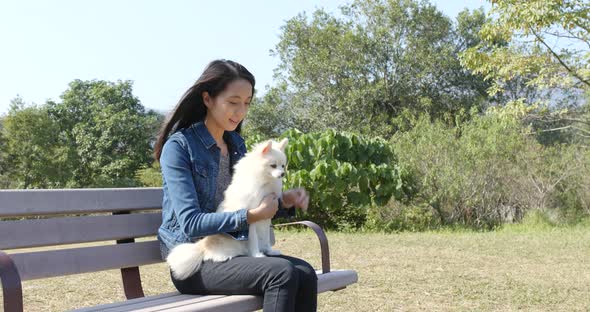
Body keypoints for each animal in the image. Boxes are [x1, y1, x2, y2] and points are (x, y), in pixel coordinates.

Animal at [166, 138, 290, 280]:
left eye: (283, 166)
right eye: (273, 165)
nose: (282, 174)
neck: (265, 182)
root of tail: (202, 245)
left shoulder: (265, 218)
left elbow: (265, 238)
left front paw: (269, 251)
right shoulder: (252, 218)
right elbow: (254, 240)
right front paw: (257, 255)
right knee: (209, 256)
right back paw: (223, 256)